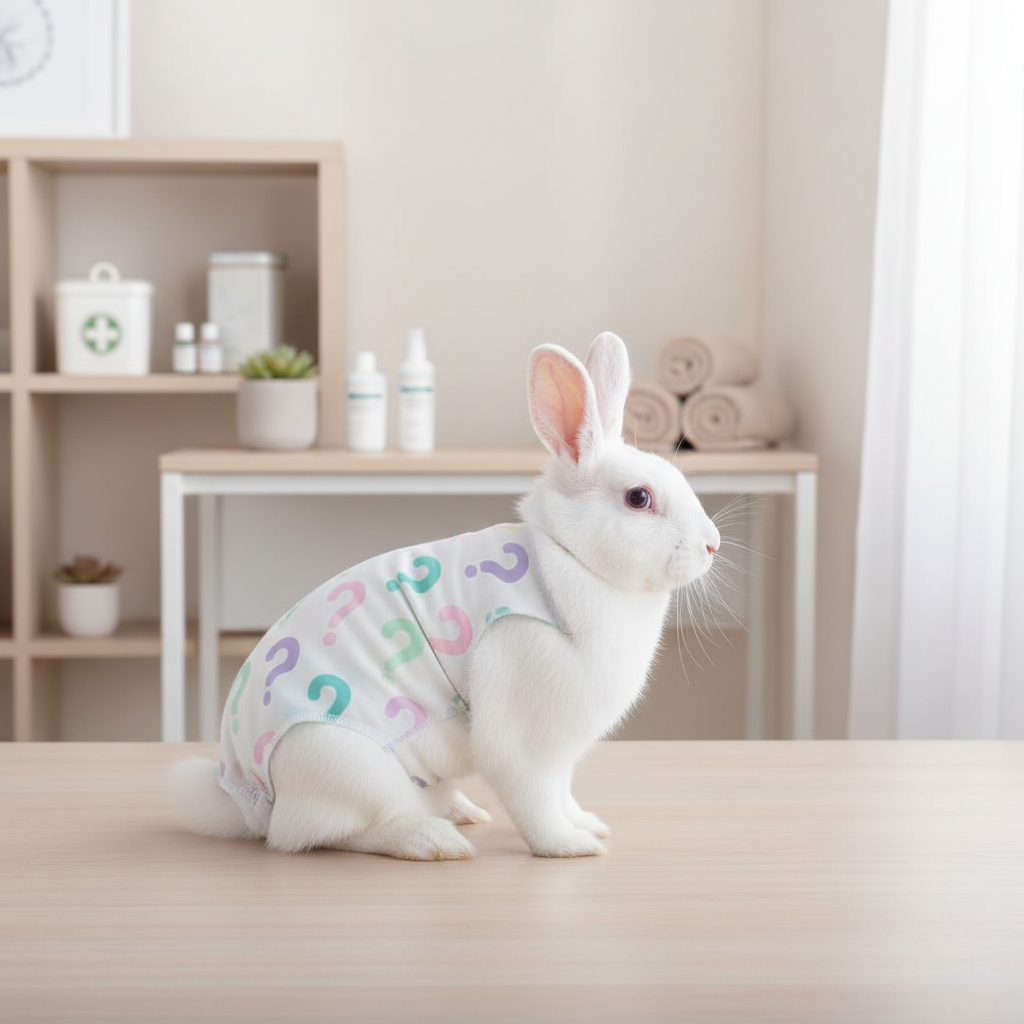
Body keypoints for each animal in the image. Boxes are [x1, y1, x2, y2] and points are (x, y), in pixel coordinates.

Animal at [169, 332, 720, 860]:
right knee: (319, 835)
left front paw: (588, 824)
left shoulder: (562, 754)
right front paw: (570, 846)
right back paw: (432, 840)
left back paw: (460, 810)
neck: (570, 556)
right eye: (638, 498)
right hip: (348, 767)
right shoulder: (526, 737)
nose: (712, 543)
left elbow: (563, 793)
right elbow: (535, 798)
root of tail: (244, 796)